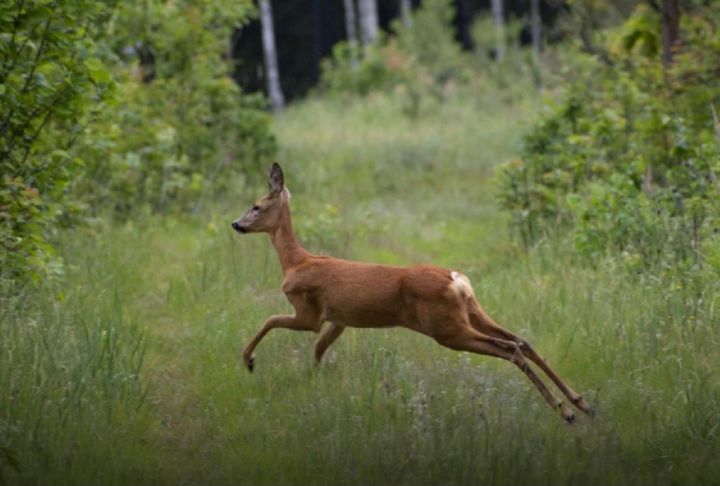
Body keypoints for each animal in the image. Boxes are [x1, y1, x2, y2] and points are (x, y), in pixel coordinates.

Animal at [233, 162, 592, 422]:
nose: (236, 224)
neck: (295, 262)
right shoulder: (339, 320)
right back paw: (581, 402)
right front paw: (316, 383)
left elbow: (270, 320)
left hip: (446, 328)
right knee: (522, 340)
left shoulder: (309, 312)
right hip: (472, 312)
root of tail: (455, 279)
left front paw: (249, 360)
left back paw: (566, 412)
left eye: (256, 206)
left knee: (509, 347)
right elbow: (318, 352)